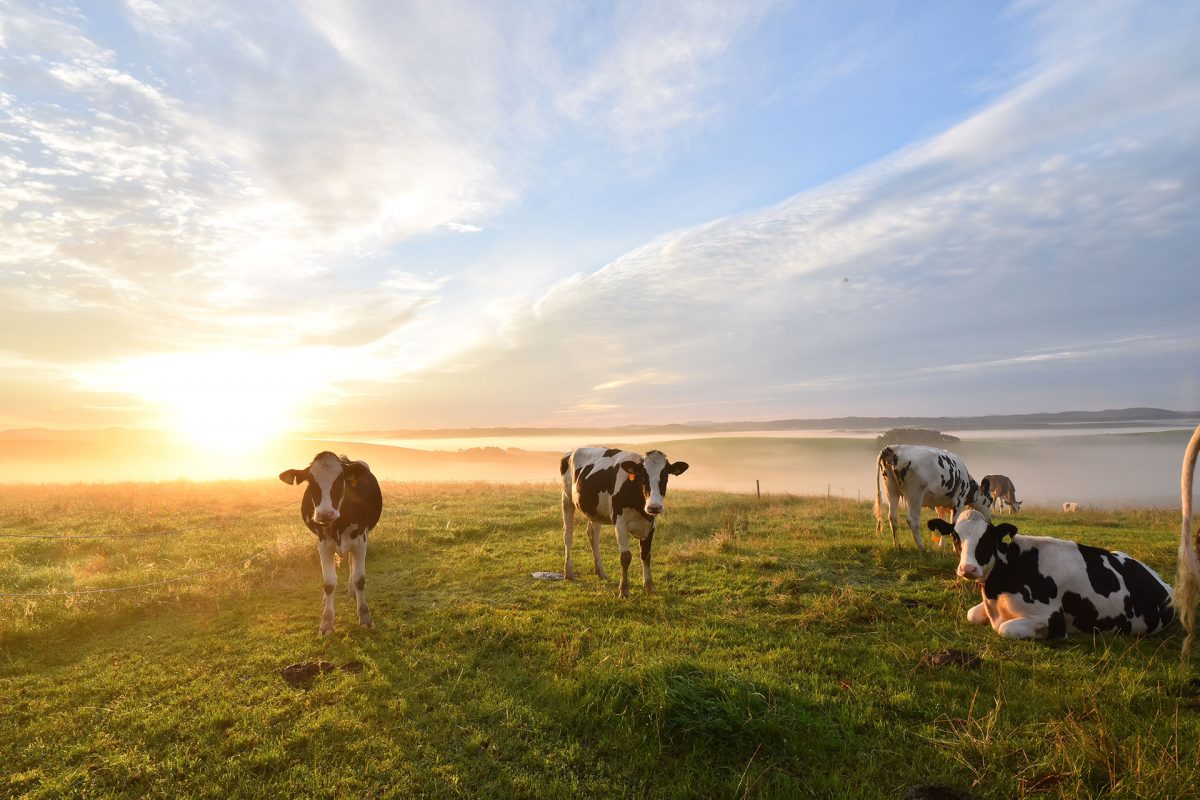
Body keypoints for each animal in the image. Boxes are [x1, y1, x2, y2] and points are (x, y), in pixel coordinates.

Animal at [278, 453, 381, 633]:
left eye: (340, 480)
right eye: (310, 482)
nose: (325, 513)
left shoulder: (361, 540)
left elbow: (359, 579)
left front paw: (365, 617)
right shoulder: (323, 543)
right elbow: (328, 582)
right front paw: (326, 622)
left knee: (351, 564)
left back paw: (351, 591)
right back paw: (327, 599)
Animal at [559, 448, 691, 597]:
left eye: (665, 476)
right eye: (643, 476)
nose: (654, 507)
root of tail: (572, 451)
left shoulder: (651, 524)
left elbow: (646, 554)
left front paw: (649, 586)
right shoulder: (620, 522)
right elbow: (625, 557)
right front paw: (624, 590)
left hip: (596, 511)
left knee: (594, 536)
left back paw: (601, 572)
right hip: (567, 498)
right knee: (568, 535)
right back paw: (568, 572)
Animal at [926, 513, 1171, 642]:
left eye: (987, 539)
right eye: (956, 537)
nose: (968, 569)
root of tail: (1163, 583)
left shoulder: (1051, 617)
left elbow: (1005, 628)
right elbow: (972, 614)